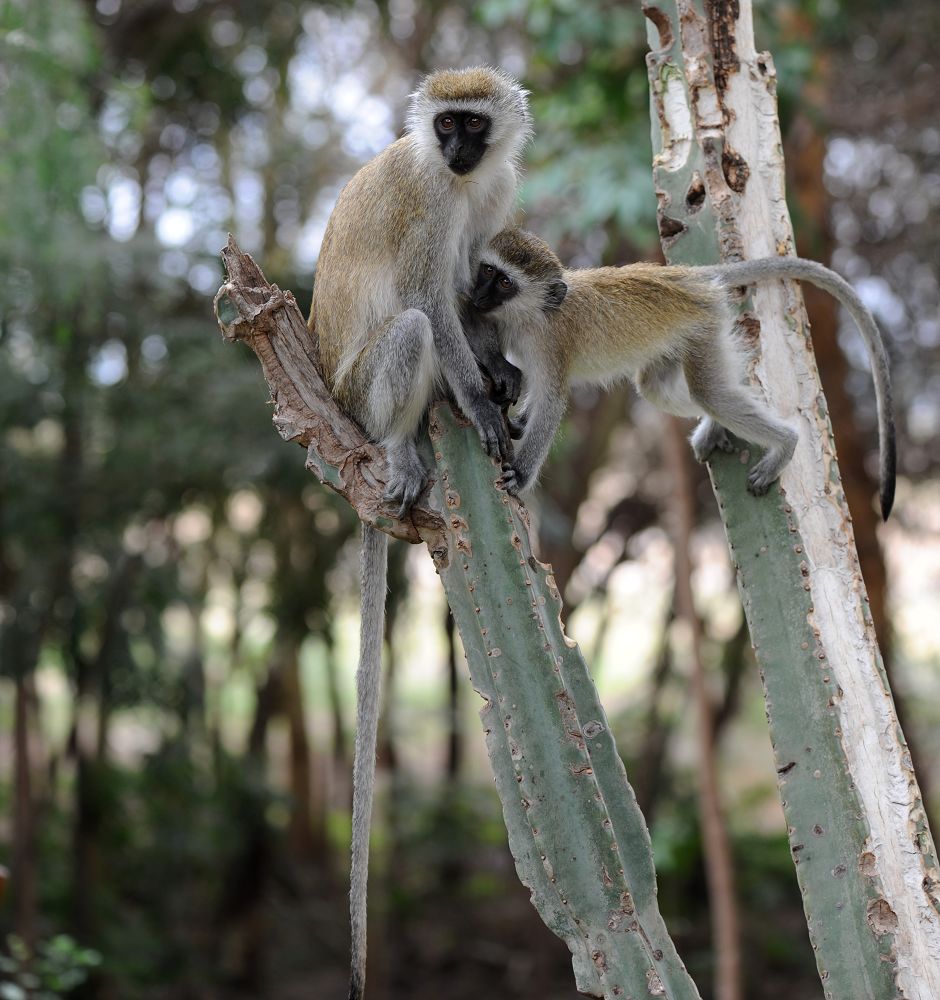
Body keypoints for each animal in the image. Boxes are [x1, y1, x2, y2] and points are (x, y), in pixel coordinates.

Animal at [468, 229, 896, 520]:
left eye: (504, 282)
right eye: (486, 270)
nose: (476, 295)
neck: (528, 315)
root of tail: (688, 277)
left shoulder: (550, 346)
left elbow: (553, 400)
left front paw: (522, 474)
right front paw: (519, 420)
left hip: (705, 324)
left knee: (711, 393)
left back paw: (785, 444)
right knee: (657, 388)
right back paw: (716, 425)